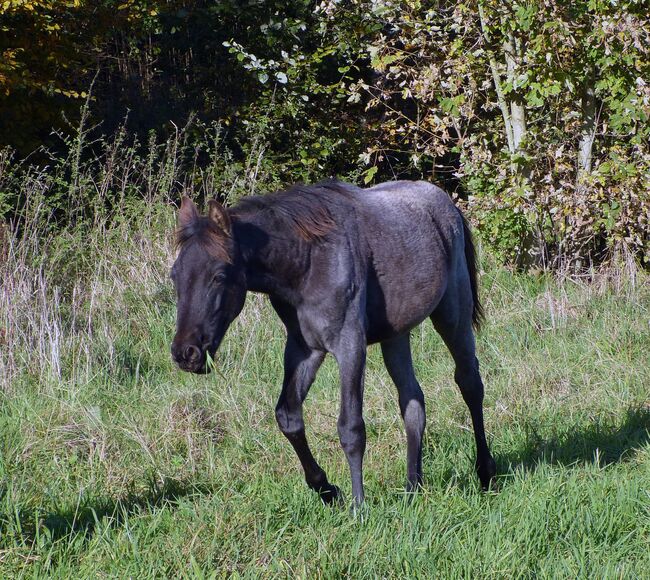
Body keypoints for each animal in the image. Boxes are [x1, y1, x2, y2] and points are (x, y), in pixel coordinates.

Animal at [170, 181, 494, 502]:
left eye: (219, 275)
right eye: (175, 275)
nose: (186, 353)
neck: (308, 262)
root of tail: (445, 203)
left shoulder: (349, 346)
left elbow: (351, 427)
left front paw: (358, 505)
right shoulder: (304, 348)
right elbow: (288, 417)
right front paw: (326, 489)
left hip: (453, 318)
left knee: (469, 384)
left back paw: (485, 473)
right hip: (396, 336)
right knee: (413, 402)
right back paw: (413, 487)